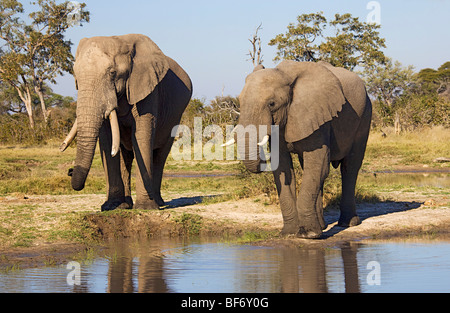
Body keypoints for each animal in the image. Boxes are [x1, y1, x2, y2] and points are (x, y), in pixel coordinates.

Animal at [60, 33, 193, 210]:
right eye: (75, 77)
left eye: (112, 73)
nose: (70, 171)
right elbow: (108, 142)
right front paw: (110, 206)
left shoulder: (148, 89)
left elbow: (141, 138)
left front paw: (145, 208)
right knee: (126, 156)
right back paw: (126, 204)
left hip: (175, 117)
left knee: (159, 155)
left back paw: (158, 203)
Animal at [237, 59, 370, 238]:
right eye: (239, 101)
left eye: (272, 104)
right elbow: (284, 168)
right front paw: (288, 233)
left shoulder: (317, 115)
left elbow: (318, 164)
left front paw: (309, 235)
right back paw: (322, 225)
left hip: (364, 116)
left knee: (350, 167)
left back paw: (347, 224)